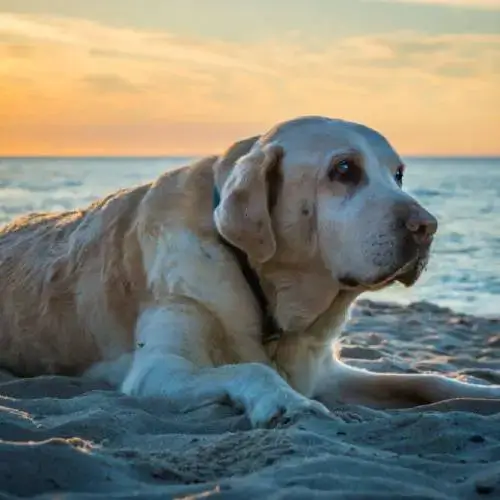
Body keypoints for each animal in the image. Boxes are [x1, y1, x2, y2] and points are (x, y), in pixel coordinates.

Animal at [0, 116, 500, 426]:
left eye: (398, 174)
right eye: (344, 169)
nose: (427, 226)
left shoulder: (327, 373)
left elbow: (428, 380)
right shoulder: (160, 369)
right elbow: (255, 371)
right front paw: (286, 403)